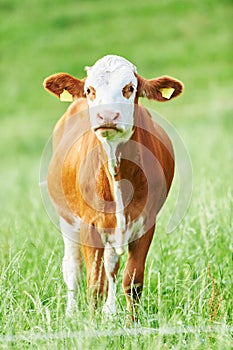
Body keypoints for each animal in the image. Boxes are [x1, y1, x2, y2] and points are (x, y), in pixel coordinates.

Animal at [42, 54, 183, 320]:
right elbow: (94, 284)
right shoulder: (89, 225)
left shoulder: (146, 223)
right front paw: (91, 324)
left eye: (130, 88)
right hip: (67, 220)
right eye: (90, 90)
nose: (107, 115)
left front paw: (131, 323)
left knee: (111, 265)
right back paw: (71, 313)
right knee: (72, 268)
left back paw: (110, 311)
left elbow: (132, 281)